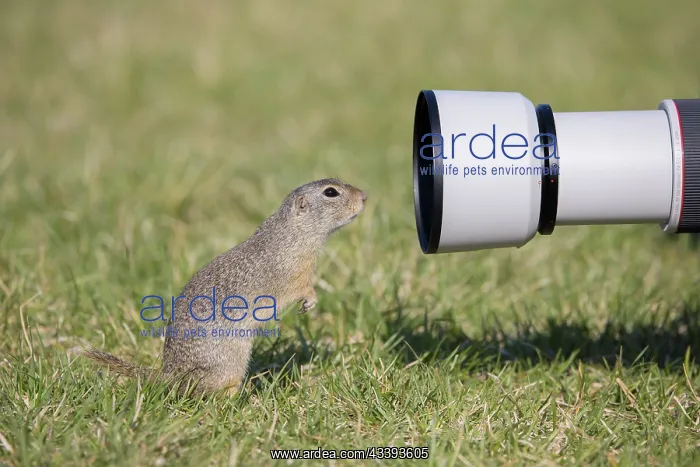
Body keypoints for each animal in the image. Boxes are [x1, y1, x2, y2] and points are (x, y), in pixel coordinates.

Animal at [74, 178, 366, 396]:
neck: (294, 232)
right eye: (331, 192)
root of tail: (171, 375)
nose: (364, 196)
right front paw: (311, 300)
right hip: (230, 364)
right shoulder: (294, 273)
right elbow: (301, 288)